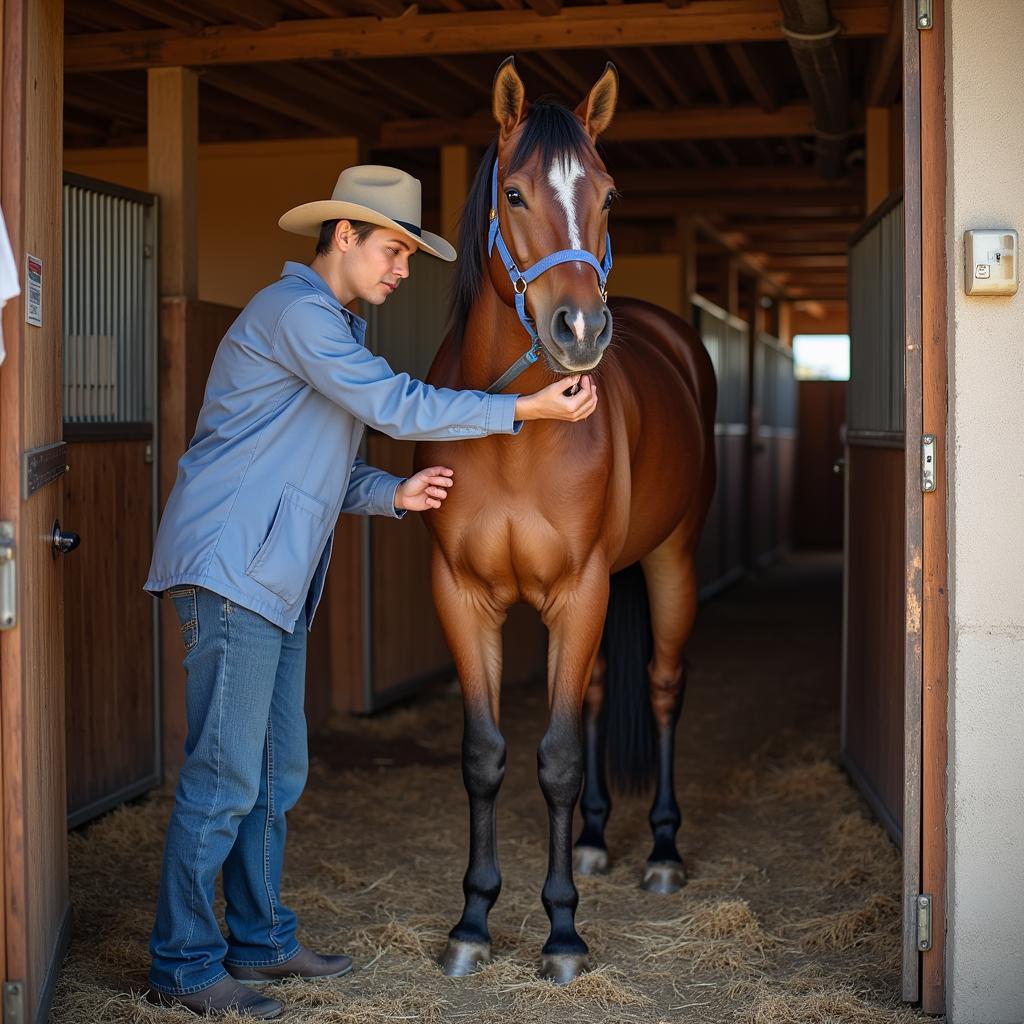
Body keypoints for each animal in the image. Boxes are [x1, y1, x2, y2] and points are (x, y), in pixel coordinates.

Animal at [411, 58, 716, 983]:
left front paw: (563, 933)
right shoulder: (463, 597)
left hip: (670, 564)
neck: (517, 433)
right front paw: (473, 923)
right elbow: (486, 757)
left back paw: (661, 852)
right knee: (595, 695)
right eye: (513, 194)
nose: (580, 330)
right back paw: (592, 839)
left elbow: (556, 758)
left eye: (609, 197)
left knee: (660, 689)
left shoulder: (579, 593)